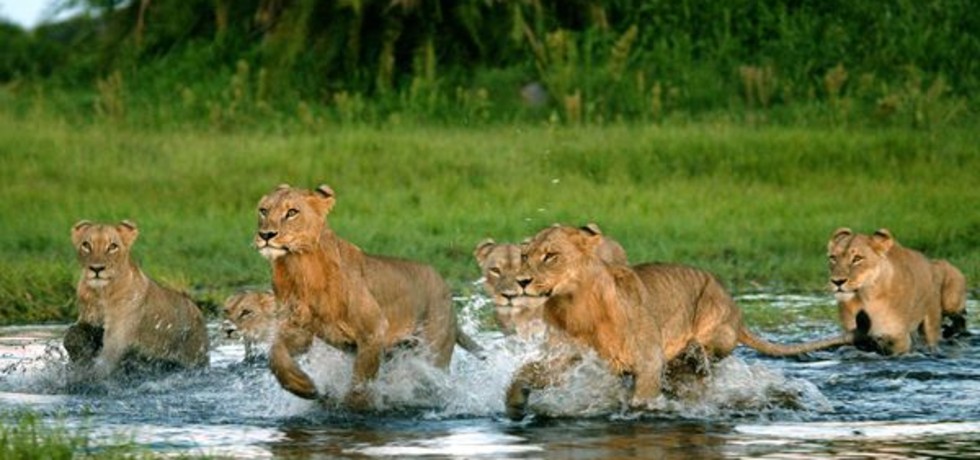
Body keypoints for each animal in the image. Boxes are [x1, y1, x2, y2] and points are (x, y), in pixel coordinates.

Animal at [65, 220, 209, 378]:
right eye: (86, 245)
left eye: (112, 246)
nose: (96, 269)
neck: (101, 294)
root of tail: (196, 309)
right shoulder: (87, 318)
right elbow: (70, 335)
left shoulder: (118, 334)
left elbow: (105, 360)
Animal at [254, 184, 484, 408]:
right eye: (263, 210)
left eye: (292, 212)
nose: (266, 235)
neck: (298, 268)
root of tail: (445, 287)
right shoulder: (299, 330)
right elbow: (276, 354)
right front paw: (303, 386)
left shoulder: (373, 332)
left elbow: (361, 379)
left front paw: (354, 406)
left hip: (432, 351)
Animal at [827, 227, 968, 355]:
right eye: (833, 258)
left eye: (857, 258)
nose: (837, 282)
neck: (866, 297)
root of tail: (931, 261)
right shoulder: (853, 333)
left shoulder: (900, 337)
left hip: (948, 303)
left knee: (959, 318)